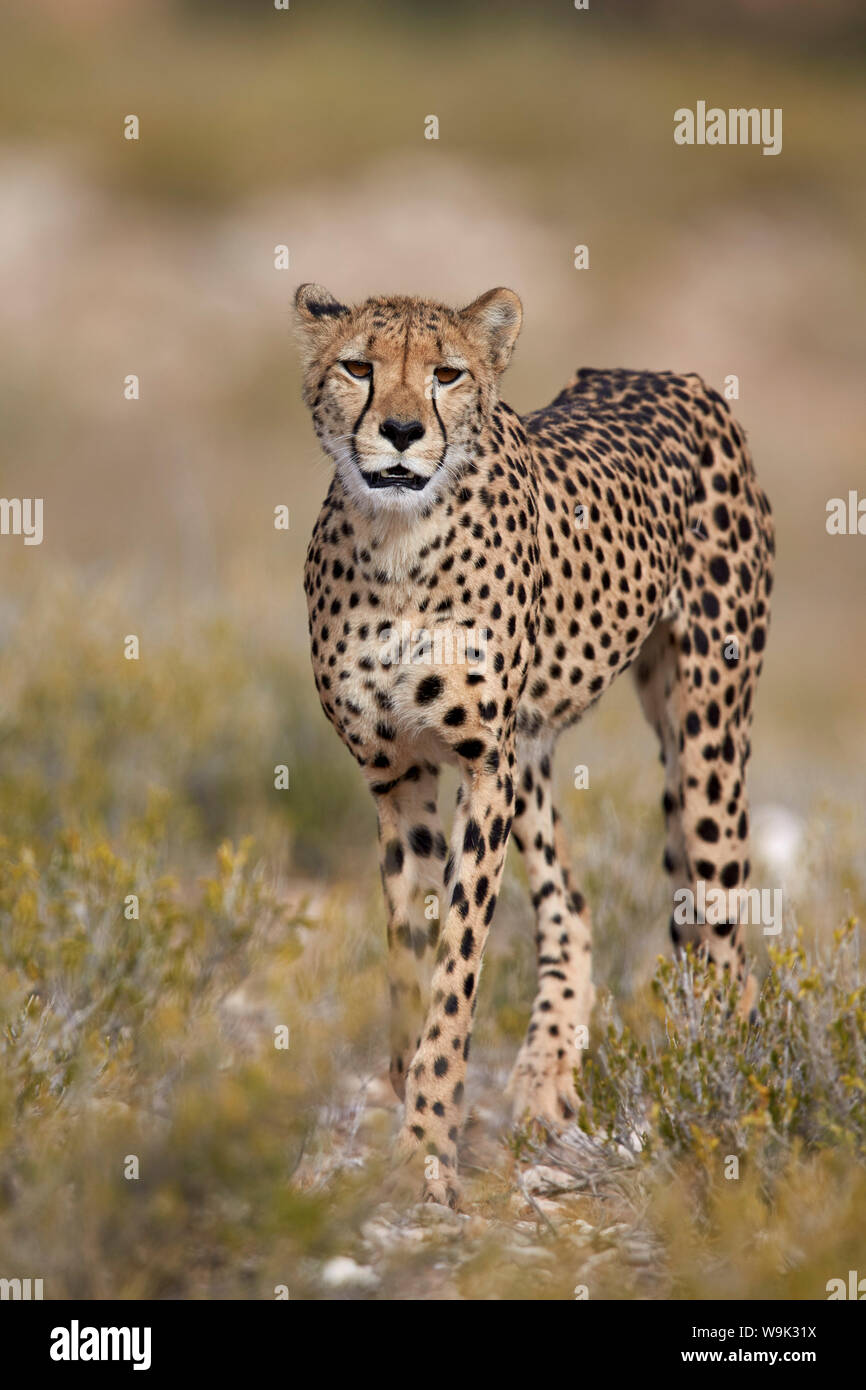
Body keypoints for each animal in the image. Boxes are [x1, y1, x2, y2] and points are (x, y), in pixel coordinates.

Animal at [296, 282, 772, 1206]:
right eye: (358, 366)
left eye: (447, 373)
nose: (400, 431)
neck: (396, 541)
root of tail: (665, 374)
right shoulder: (398, 774)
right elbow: (410, 956)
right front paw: (410, 1103)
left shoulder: (484, 767)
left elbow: (456, 972)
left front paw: (427, 1147)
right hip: (538, 749)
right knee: (576, 906)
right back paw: (547, 1072)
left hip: (706, 732)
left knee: (728, 944)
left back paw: (727, 1103)